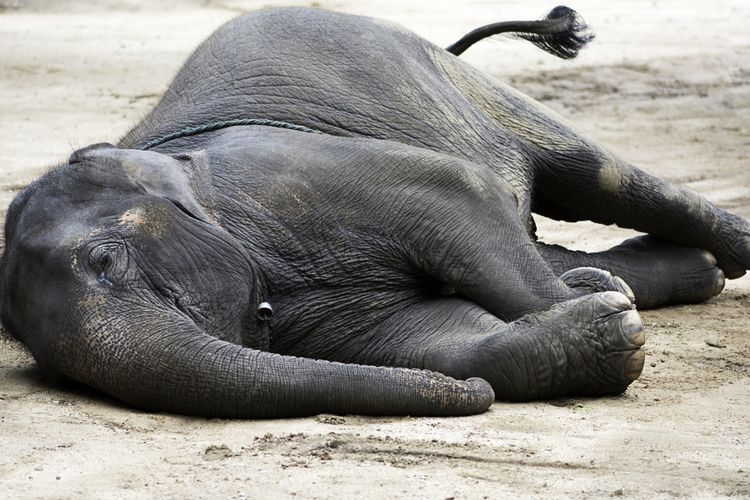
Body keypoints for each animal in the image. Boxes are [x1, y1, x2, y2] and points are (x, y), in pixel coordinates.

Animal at [1, 5, 750, 420]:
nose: (470, 396)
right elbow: (432, 334)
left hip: (445, 77)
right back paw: (652, 278)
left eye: (107, 260)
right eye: (58, 374)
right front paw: (604, 320)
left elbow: (453, 195)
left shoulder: (293, 176)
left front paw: (601, 311)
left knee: (590, 174)